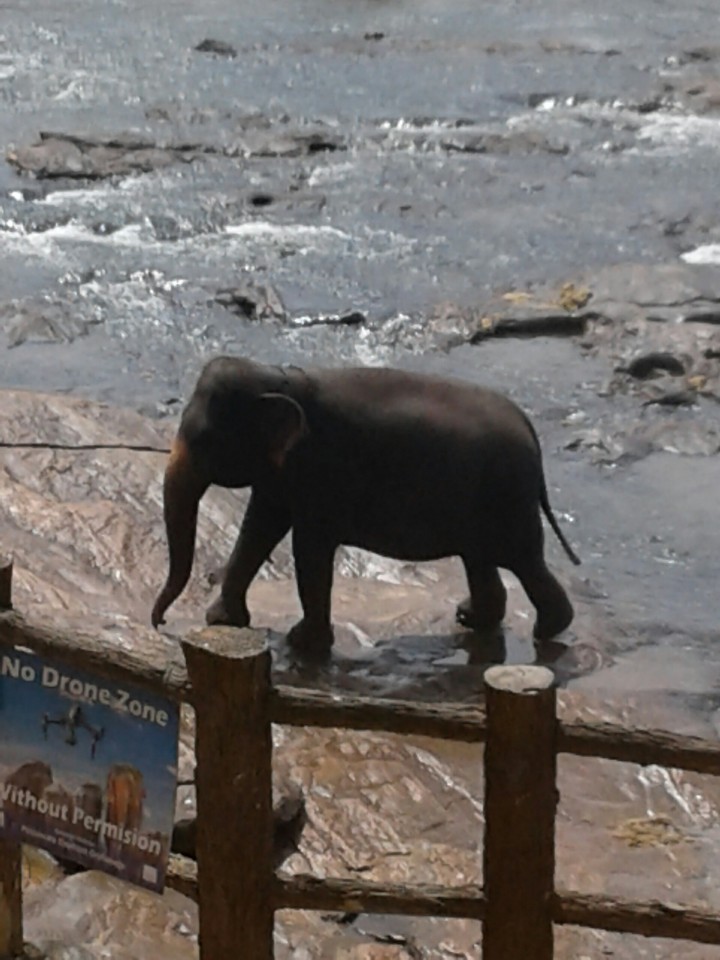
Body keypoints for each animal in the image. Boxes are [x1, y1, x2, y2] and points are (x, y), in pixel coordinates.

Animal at [151, 356, 580, 652]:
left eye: (205, 440)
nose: (160, 624)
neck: (280, 377)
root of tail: (531, 432)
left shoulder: (321, 468)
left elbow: (308, 547)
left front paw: (301, 643)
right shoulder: (280, 473)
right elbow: (258, 529)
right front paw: (223, 621)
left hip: (507, 498)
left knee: (524, 561)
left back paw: (547, 630)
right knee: (482, 559)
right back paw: (471, 617)